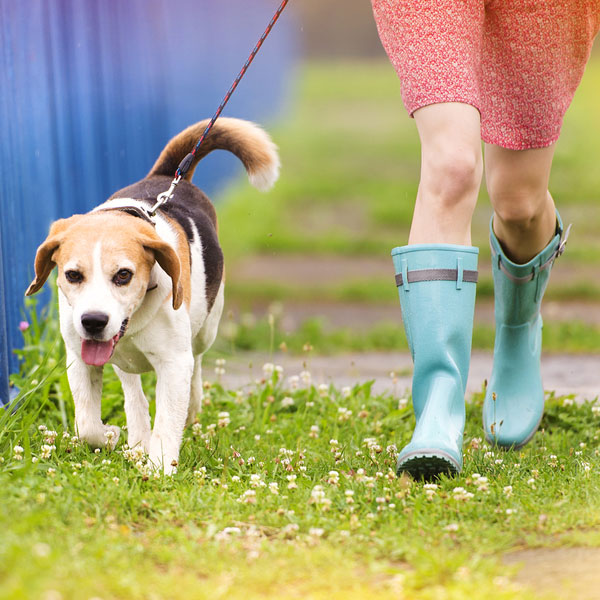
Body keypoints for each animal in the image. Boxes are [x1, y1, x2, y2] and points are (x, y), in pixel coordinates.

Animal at [27, 118, 280, 474]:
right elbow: (87, 424)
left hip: (205, 329)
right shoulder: (79, 357)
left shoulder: (174, 362)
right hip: (123, 359)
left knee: (196, 365)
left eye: (123, 275)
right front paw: (110, 436)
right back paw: (136, 435)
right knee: (134, 391)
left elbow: (167, 421)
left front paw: (159, 469)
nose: (93, 321)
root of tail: (167, 176)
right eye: (73, 275)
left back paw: (188, 410)